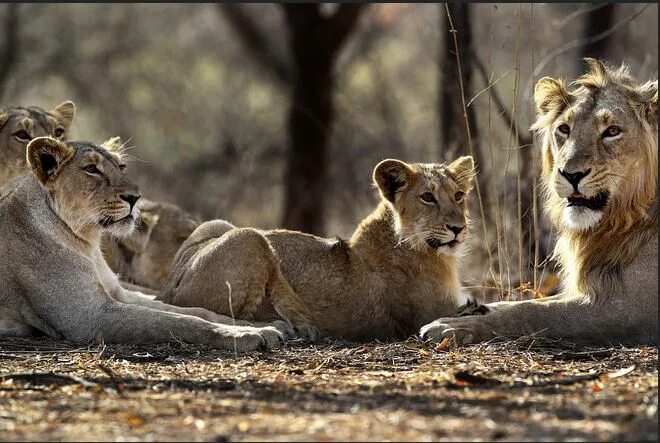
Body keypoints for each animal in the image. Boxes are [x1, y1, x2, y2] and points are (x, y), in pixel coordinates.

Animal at [0, 137, 282, 352]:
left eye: (121, 166)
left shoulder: (118, 293)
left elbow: (192, 310)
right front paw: (243, 336)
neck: (88, 242)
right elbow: (176, 320)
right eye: (91, 169)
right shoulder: (88, 316)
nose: (135, 198)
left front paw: (262, 326)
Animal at [157, 158, 476, 342]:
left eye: (459, 196)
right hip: (250, 237)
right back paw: (292, 328)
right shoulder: (432, 312)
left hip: (218, 224)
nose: (458, 228)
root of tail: (168, 287)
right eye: (428, 197)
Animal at [420, 59, 656, 346]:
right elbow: (523, 302)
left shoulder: (631, 307)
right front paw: (471, 310)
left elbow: (533, 312)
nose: (570, 174)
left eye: (612, 131)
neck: (623, 218)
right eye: (564, 129)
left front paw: (451, 327)